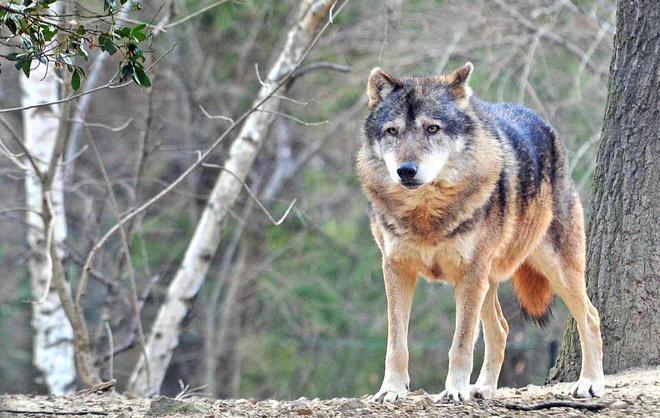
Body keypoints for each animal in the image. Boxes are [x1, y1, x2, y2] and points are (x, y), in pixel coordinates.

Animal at [357, 62, 604, 403]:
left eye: (432, 129)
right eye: (392, 131)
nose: (405, 170)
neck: (426, 213)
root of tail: (542, 122)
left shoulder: (470, 273)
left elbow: (460, 344)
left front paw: (454, 391)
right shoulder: (396, 268)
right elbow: (396, 343)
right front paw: (391, 390)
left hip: (554, 270)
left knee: (591, 317)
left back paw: (590, 383)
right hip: (487, 281)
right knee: (500, 329)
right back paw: (484, 389)